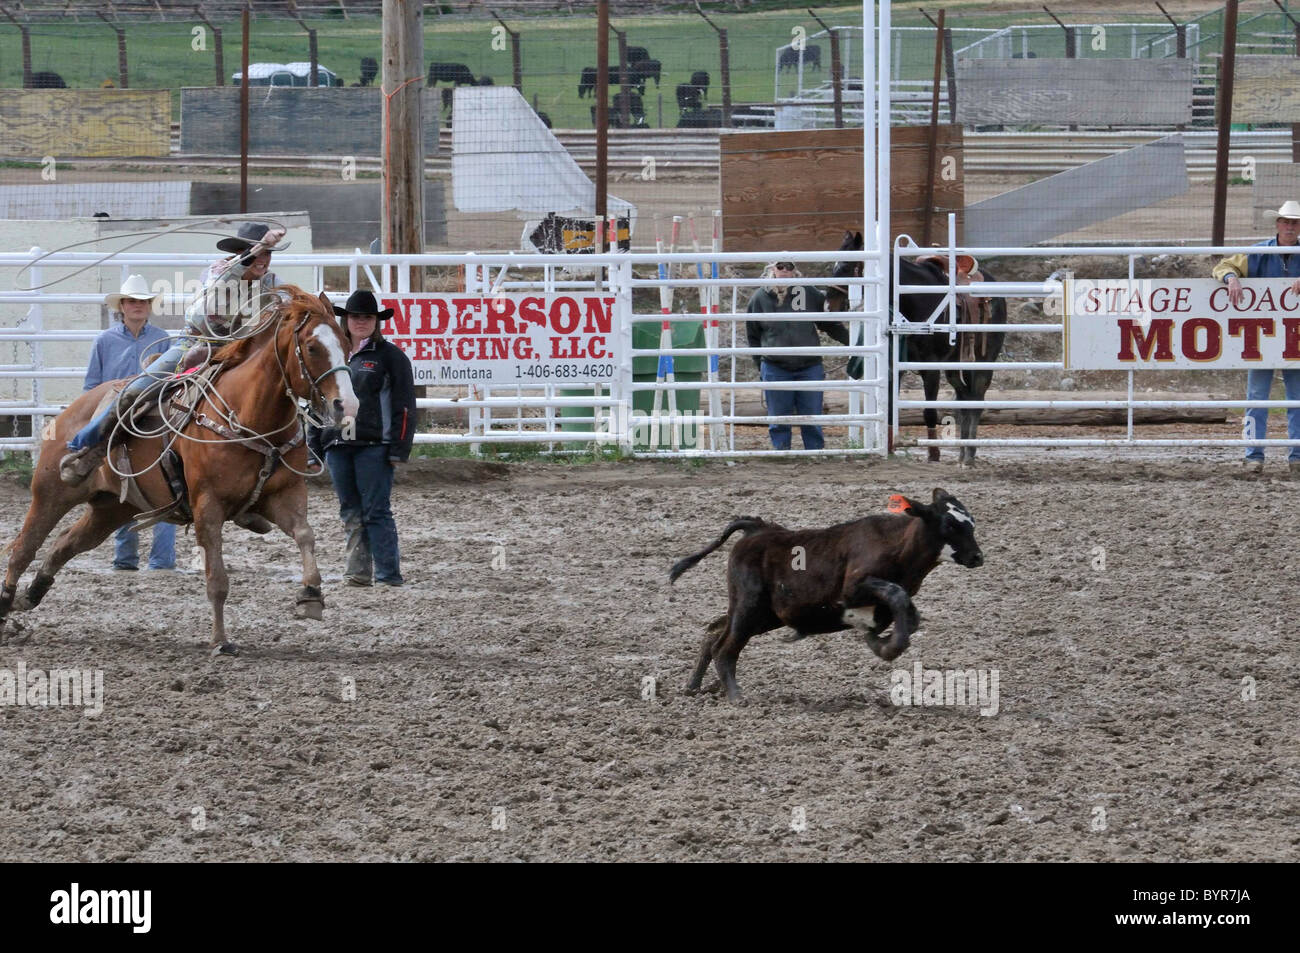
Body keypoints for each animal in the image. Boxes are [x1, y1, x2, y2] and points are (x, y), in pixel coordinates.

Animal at [670, 489, 984, 701]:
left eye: (971, 522)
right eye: (950, 524)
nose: (977, 557)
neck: (899, 547)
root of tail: (756, 529)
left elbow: (909, 613)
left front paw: (879, 642)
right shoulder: (854, 588)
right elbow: (896, 596)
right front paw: (887, 646)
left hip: (763, 615)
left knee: (714, 631)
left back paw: (694, 685)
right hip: (748, 607)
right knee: (724, 648)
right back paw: (736, 695)